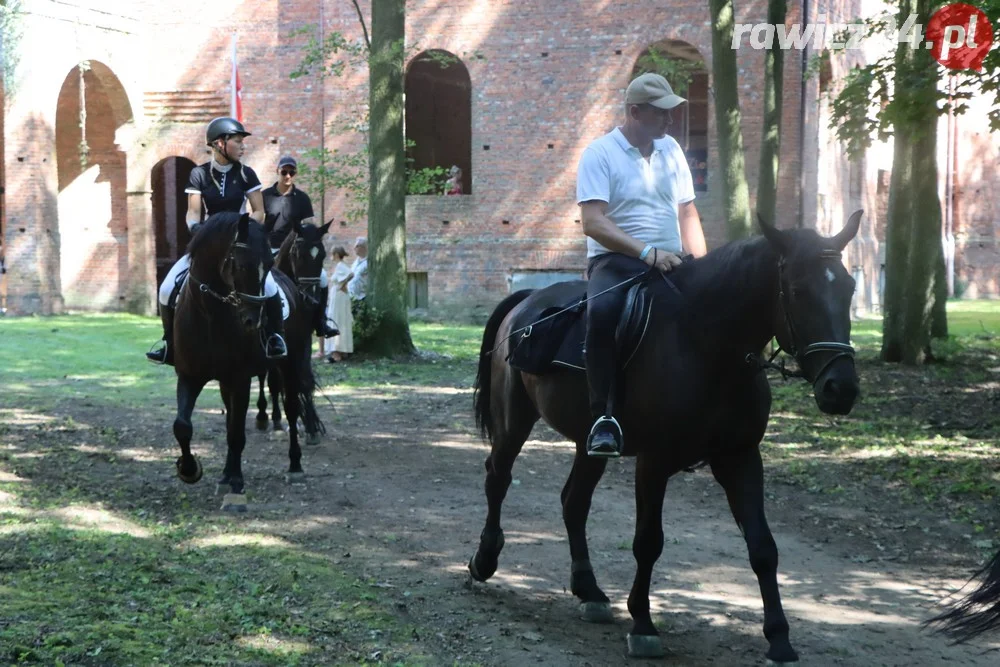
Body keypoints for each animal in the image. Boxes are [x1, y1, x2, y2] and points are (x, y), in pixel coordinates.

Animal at [171, 211, 288, 508]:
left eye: (269, 264)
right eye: (241, 264)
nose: (253, 320)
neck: (211, 313)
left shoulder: (240, 379)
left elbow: (236, 433)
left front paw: (236, 484)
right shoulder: (189, 376)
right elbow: (183, 426)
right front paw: (189, 469)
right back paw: (224, 475)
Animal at [252, 222, 330, 452]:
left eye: (322, 255)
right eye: (298, 254)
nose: (313, 300)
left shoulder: (302, 342)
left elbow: (304, 380)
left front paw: (311, 427)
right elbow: (276, 382)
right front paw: (278, 421)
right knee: (270, 379)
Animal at [464, 211, 864, 660]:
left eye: (849, 288)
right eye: (797, 290)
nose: (841, 389)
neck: (707, 343)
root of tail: (528, 300)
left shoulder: (741, 457)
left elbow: (762, 546)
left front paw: (779, 639)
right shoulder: (654, 463)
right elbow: (648, 542)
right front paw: (643, 624)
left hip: (589, 442)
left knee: (574, 502)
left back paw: (589, 590)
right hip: (513, 421)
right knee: (498, 478)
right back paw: (484, 561)